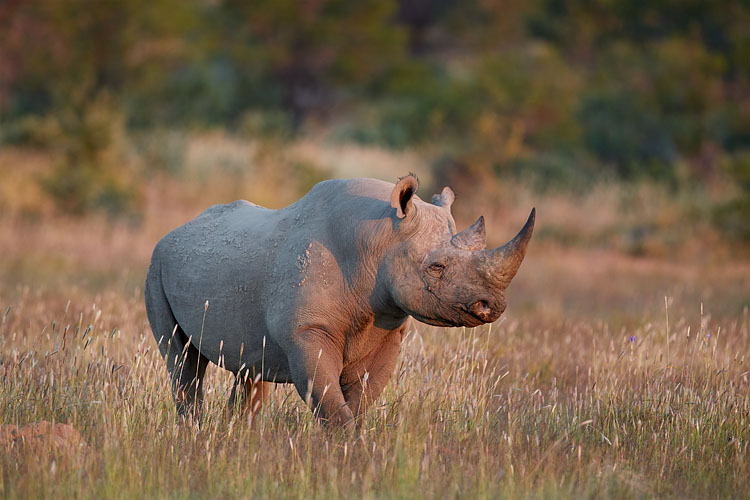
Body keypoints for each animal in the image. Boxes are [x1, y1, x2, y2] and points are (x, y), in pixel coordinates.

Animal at [145, 175, 534, 426]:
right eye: (436, 267)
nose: (493, 306)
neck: (379, 239)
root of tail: (175, 231)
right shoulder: (308, 331)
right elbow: (333, 407)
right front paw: (347, 457)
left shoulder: (387, 329)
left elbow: (357, 404)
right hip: (157, 265)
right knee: (183, 363)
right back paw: (194, 434)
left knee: (250, 370)